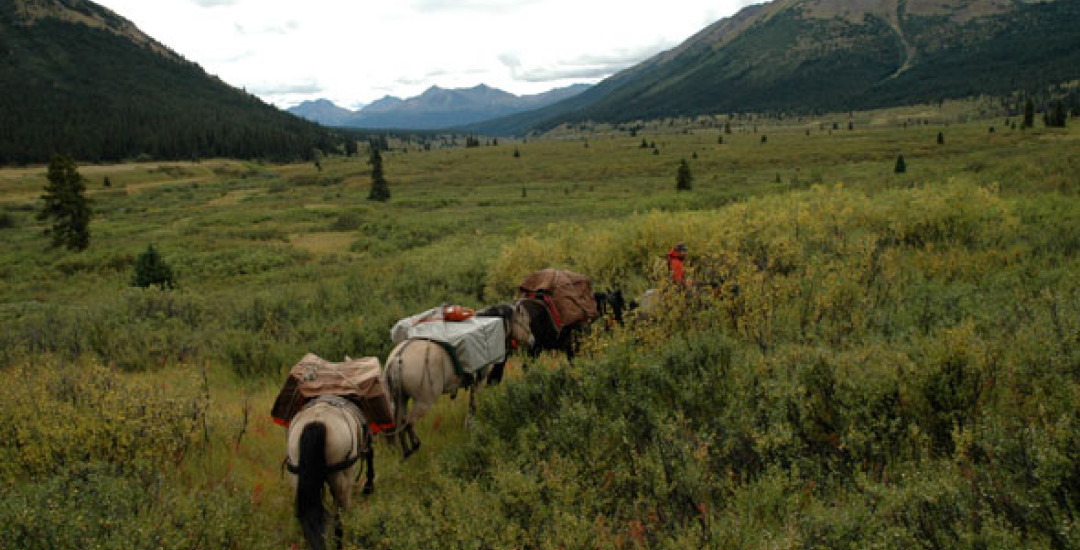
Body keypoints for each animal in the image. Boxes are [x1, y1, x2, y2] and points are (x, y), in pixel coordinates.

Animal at [284, 395, 375, 550]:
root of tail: (316, 421)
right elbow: (370, 456)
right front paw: (368, 488)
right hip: (342, 478)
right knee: (339, 515)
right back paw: (340, 543)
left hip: (296, 476)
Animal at [384, 300, 535, 458]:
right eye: (525, 320)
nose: (532, 341)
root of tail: (397, 358)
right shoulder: (480, 380)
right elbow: (474, 405)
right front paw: (471, 426)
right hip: (423, 401)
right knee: (408, 422)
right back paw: (415, 445)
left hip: (401, 398)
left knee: (399, 423)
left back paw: (405, 452)